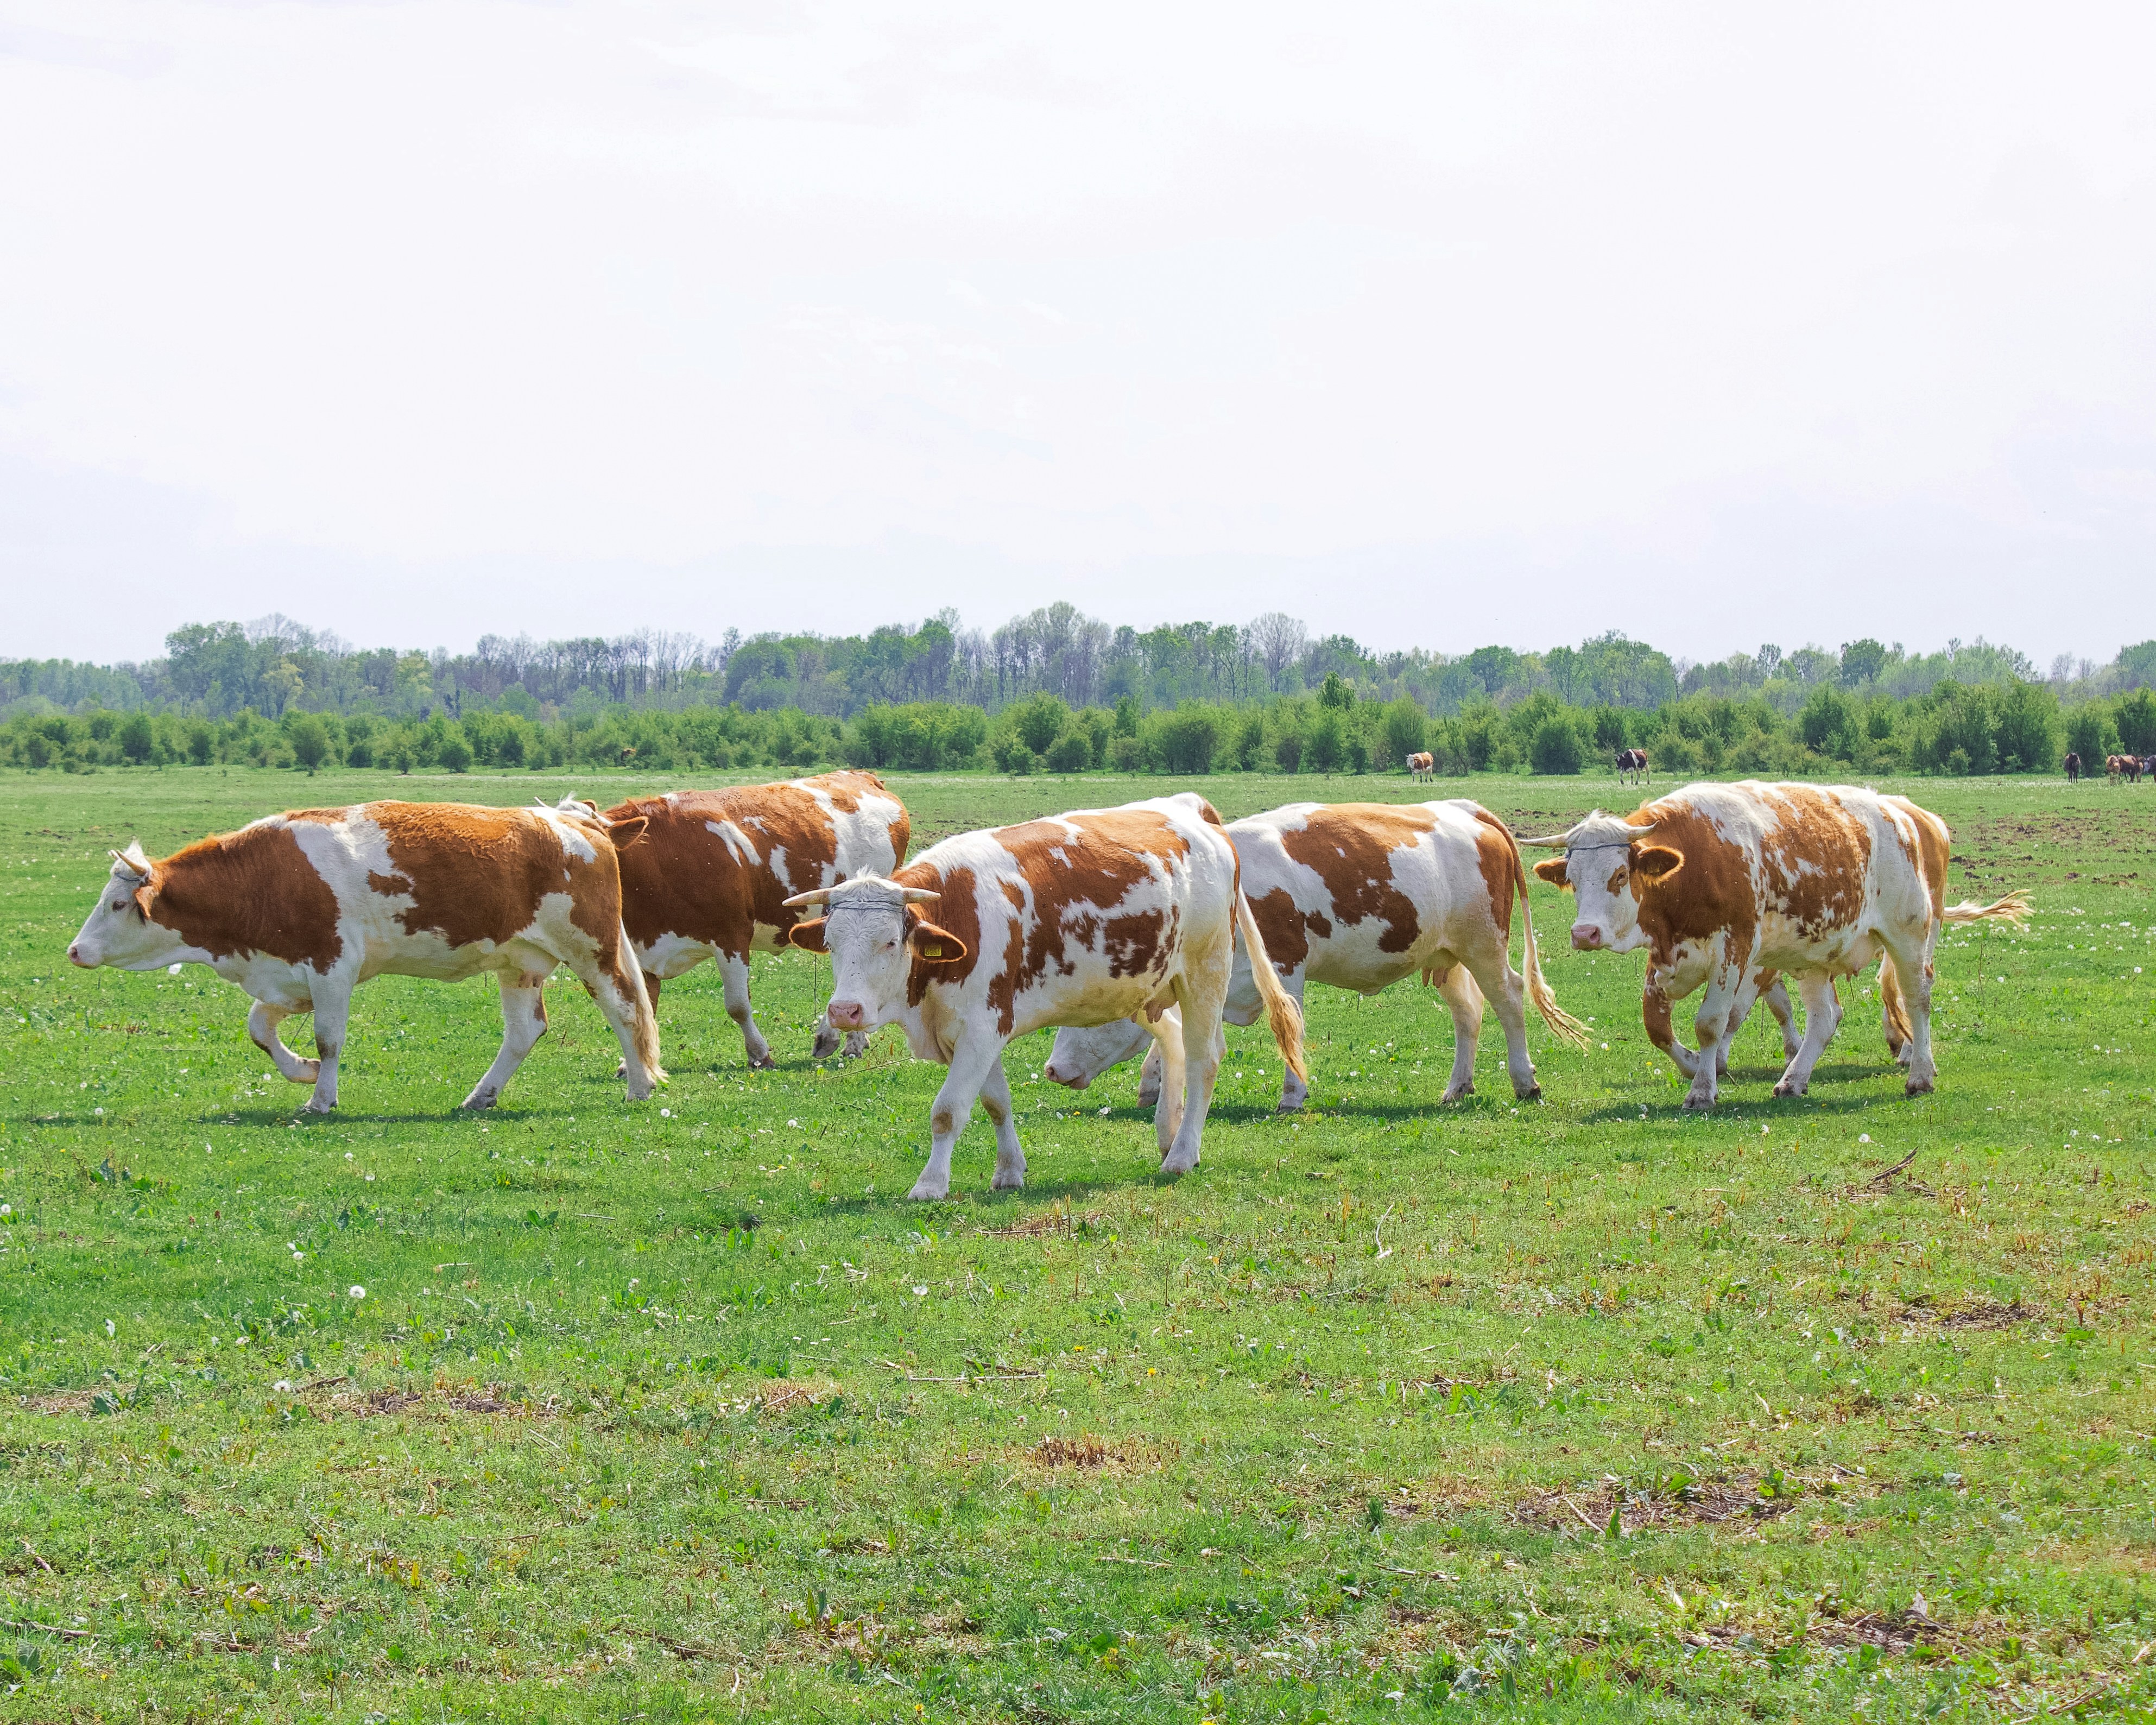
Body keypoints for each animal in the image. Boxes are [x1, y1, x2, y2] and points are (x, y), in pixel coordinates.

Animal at [65, 802, 663, 1112]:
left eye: (116, 904)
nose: (75, 949)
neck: (264, 877)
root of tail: (581, 824)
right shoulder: (287, 974)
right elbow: (260, 1028)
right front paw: (302, 1072)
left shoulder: (333, 966)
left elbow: (329, 1040)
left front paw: (320, 1098)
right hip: (519, 964)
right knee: (524, 1031)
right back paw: (480, 1096)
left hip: (590, 950)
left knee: (626, 1010)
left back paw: (639, 1086)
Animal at [565, 772, 909, 1068]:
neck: (660, 861)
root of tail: (863, 776)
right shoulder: (644, 949)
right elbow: (645, 1007)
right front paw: (631, 1066)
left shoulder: (731, 936)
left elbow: (738, 1005)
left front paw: (759, 1054)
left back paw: (847, 1041)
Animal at [782, 794, 1306, 1200]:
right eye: (830, 942)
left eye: (890, 942)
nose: (844, 1010)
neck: (959, 912)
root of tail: (1194, 814)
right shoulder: (977, 1029)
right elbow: (995, 1102)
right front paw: (1009, 1171)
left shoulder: (982, 1026)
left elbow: (948, 1110)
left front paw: (930, 1185)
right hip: (1149, 986)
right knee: (1175, 1042)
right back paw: (1168, 1133)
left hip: (1205, 971)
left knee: (1204, 1059)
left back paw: (1181, 1154)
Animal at [1042, 800, 1588, 1110]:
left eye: (1089, 1010)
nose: (1051, 1070)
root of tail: (1471, 813)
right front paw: (1154, 1086)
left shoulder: (1286, 967)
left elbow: (1290, 1028)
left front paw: (1292, 1094)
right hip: (1443, 955)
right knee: (1469, 1013)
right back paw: (1458, 1087)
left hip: (1484, 946)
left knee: (1509, 1000)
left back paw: (1524, 1081)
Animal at [1523, 783, 2030, 1110]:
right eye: (1571, 879)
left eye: (1619, 874)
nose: (1584, 934)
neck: (1694, 861)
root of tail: (1905, 815)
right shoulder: (1667, 958)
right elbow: (1657, 1027)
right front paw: (1694, 1065)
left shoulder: (1734, 951)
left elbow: (1712, 1022)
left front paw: (1702, 1088)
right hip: (1813, 957)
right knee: (1824, 1018)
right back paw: (1793, 1080)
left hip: (1910, 935)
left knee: (1916, 998)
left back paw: (1919, 1073)